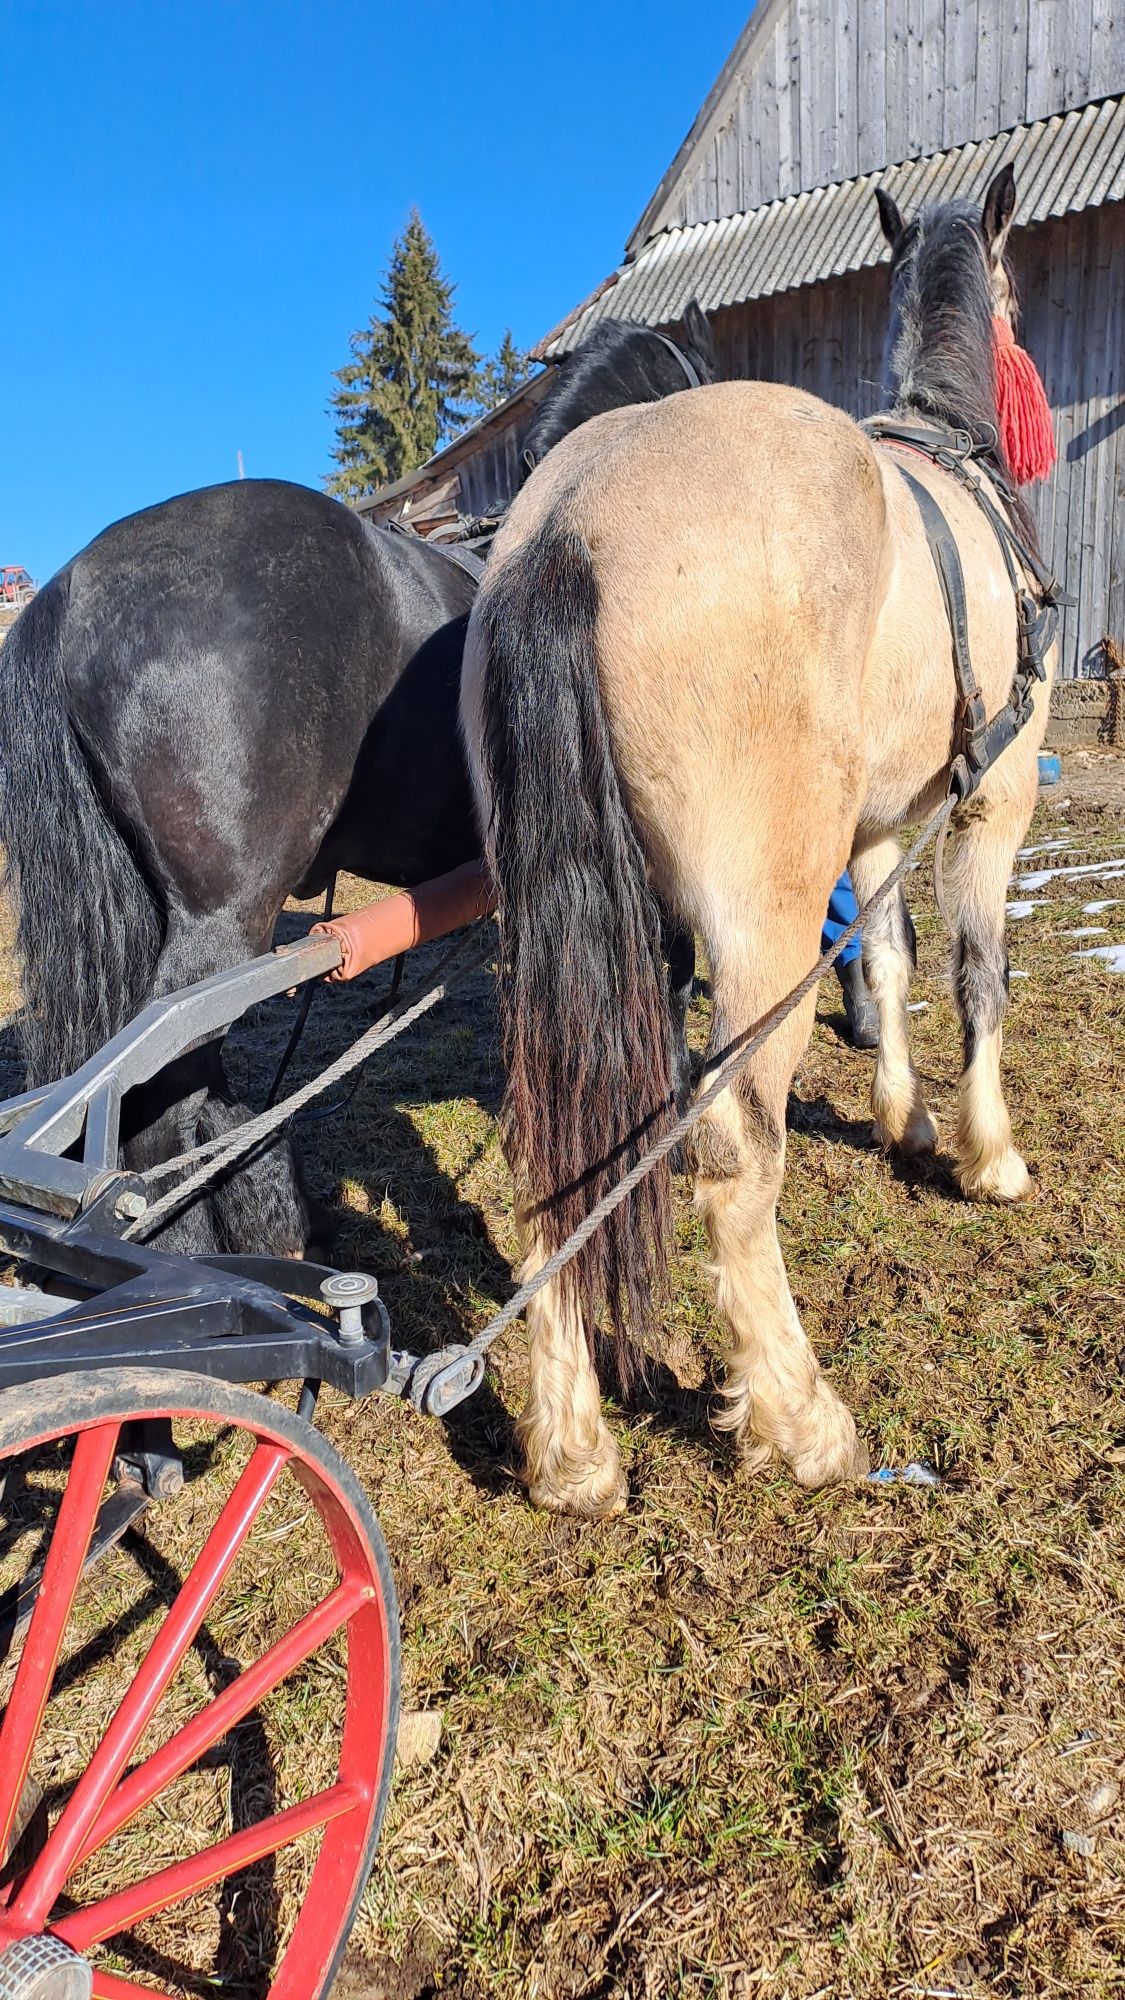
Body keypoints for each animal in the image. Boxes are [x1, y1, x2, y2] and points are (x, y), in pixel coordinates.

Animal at [460, 168, 1056, 1512]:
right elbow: (977, 974)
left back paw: (573, 1451)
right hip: (761, 935)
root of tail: (567, 520)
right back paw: (802, 1418)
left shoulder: (878, 830)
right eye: (1012, 281)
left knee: (552, 1153)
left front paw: (906, 1121)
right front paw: (987, 1153)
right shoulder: (990, 803)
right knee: (738, 1162)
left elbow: (888, 962)